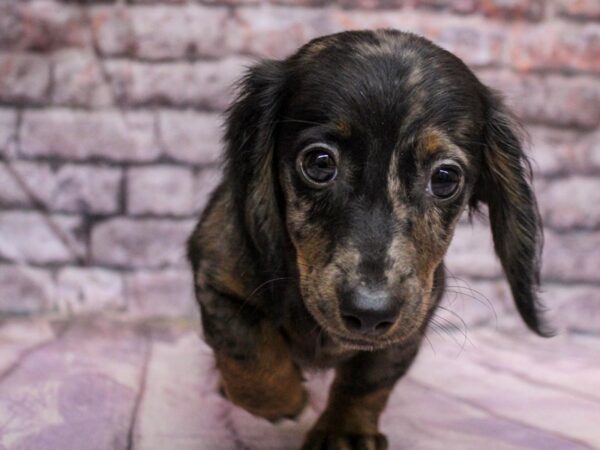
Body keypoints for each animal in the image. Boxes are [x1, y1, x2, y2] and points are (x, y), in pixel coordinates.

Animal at [186, 29, 548, 450]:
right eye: (320, 162)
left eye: (445, 178)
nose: (371, 312)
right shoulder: (216, 275)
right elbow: (245, 347)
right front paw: (283, 399)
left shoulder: (413, 318)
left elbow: (369, 378)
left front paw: (345, 432)